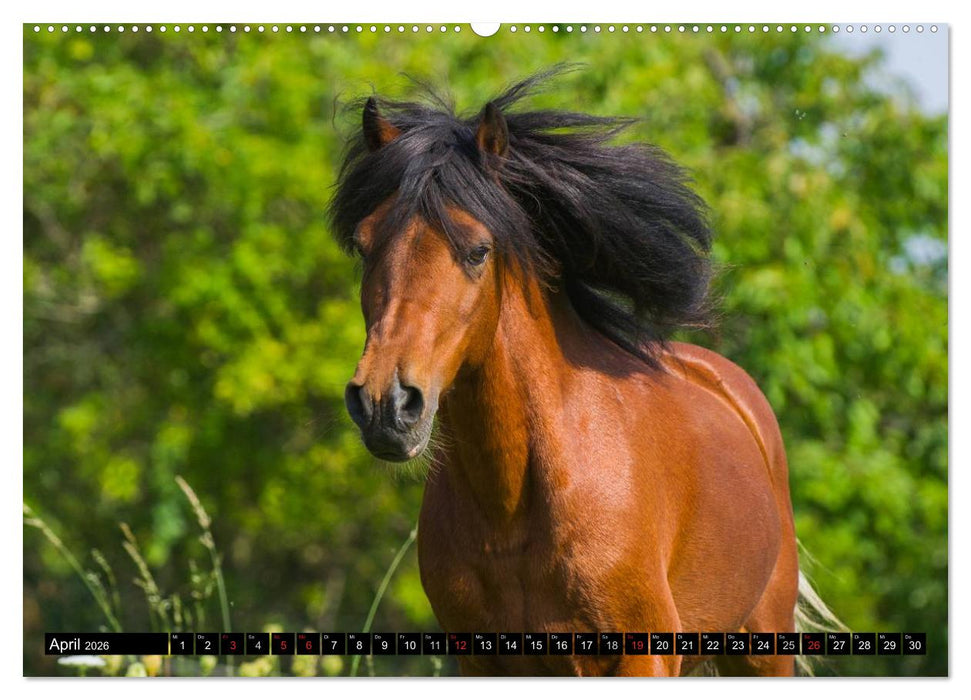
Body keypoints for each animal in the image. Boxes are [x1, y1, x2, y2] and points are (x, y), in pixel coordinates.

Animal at [330, 70, 826, 676]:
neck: (514, 508)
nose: (385, 404)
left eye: (478, 250)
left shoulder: (642, 655)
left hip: (761, 649)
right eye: (363, 246)